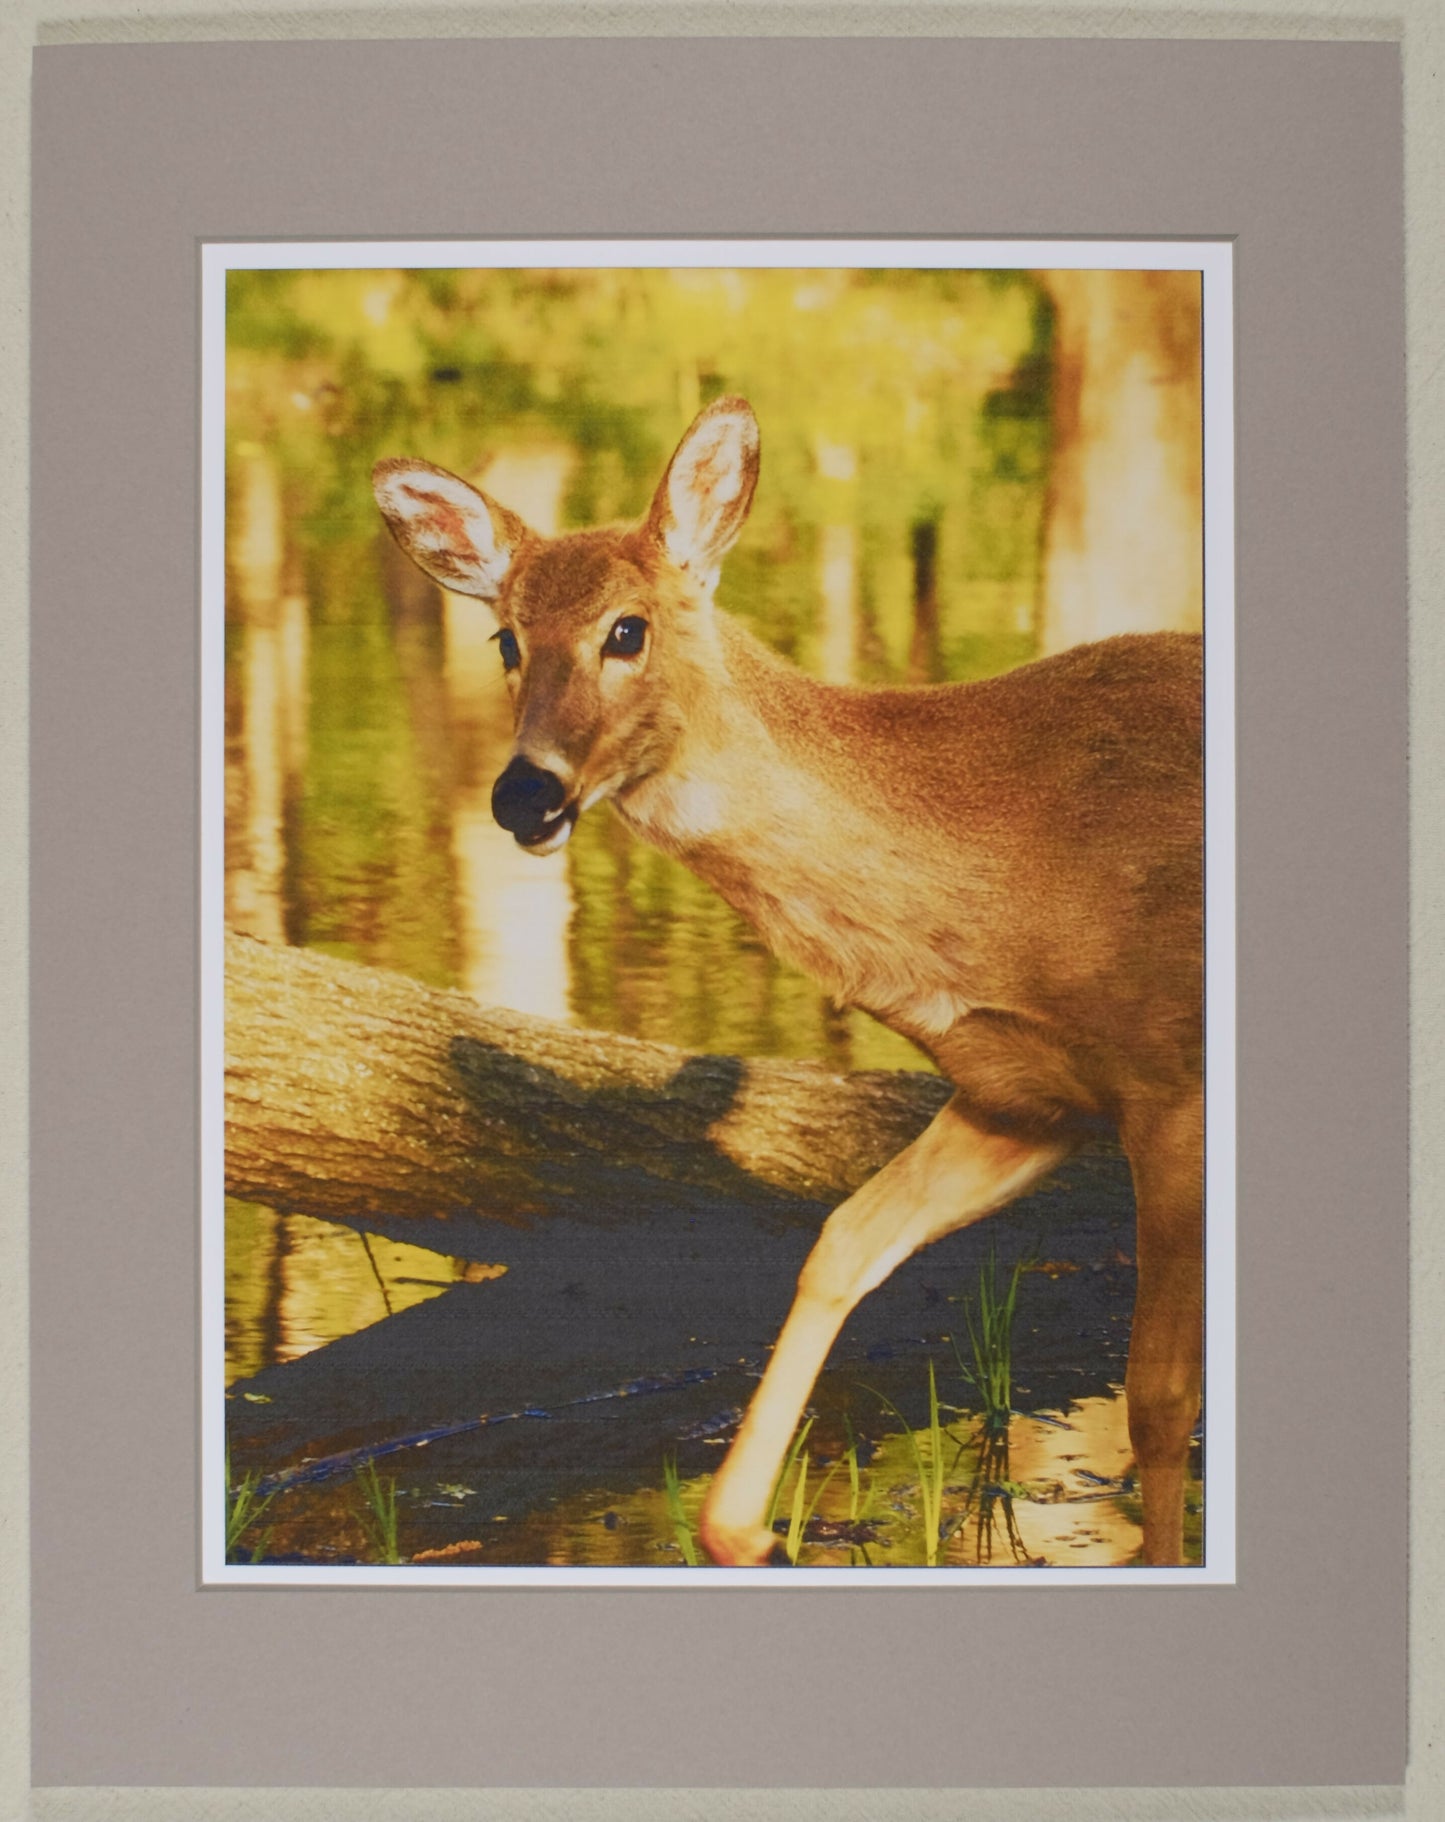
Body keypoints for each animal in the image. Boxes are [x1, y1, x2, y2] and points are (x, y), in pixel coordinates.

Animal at [373, 395, 1205, 1568]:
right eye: (504, 638)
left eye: (626, 629)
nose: (522, 794)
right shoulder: (1023, 1096)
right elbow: (838, 1245)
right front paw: (748, 1529)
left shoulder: (1171, 1079)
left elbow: (1161, 1399)